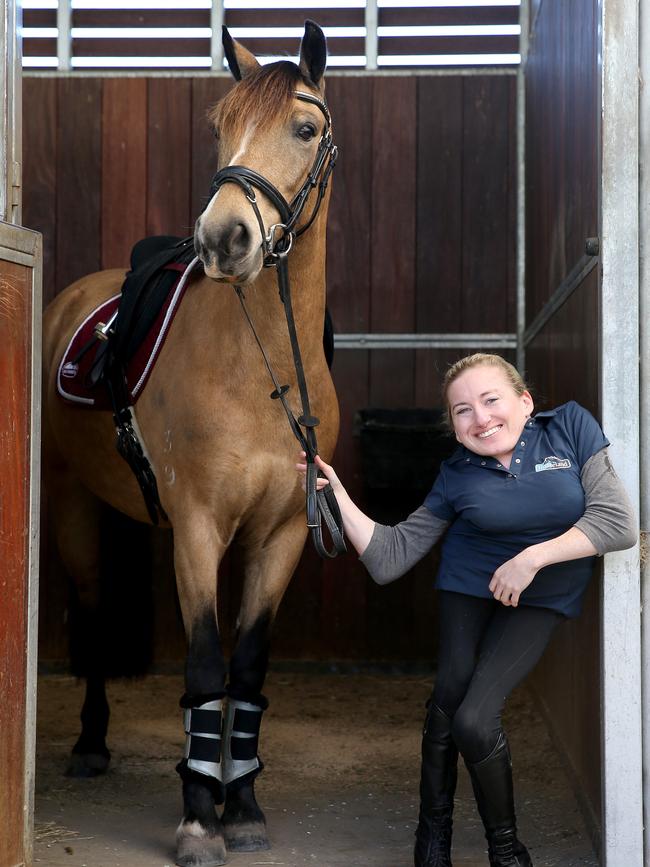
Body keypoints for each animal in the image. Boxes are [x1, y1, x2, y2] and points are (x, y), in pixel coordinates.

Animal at [41, 22, 340, 867]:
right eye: (220, 128)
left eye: (304, 129)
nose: (224, 237)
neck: (261, 367)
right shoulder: (202, 528)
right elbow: (206, 663)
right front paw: (200, 819)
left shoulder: (281, 534)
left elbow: (247, 664)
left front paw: (243, 806)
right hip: (73, 505)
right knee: (92, 607)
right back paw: (91, 742)